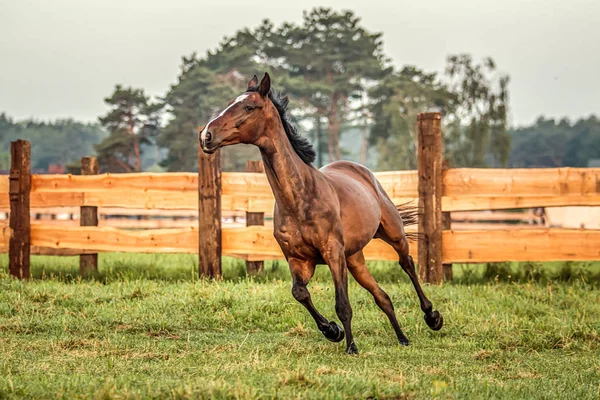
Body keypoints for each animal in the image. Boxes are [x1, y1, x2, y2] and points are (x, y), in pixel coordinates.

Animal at [199, 73, 442, 354]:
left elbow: (342, 304)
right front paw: (332, 331)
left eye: (248, 107)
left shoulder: (333, 252)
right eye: (230, 103)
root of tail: (363, 173)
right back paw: (402, 338)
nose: (206, 135)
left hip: (393, 235)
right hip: (355, 259)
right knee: (382, 297)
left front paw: (350, 347)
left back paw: (432, 317)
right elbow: (300, 293)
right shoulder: (298, 259)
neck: (300, 198)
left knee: (407, 264)